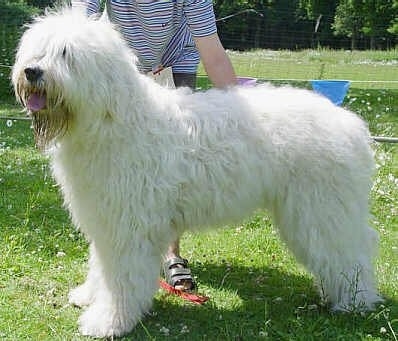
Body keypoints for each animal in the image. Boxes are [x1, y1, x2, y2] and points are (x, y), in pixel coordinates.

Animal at [12, 8, 382, 338]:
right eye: (37, 49)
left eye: (66, 53)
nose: (31, 71)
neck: (111, 118)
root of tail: (349, 124)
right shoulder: (105, 219)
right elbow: (101, 267)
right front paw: (89, 296)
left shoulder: (129, 226)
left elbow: (121, 278)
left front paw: (108, 321)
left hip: (321, 210)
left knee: (350, 252)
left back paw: (355, 300)